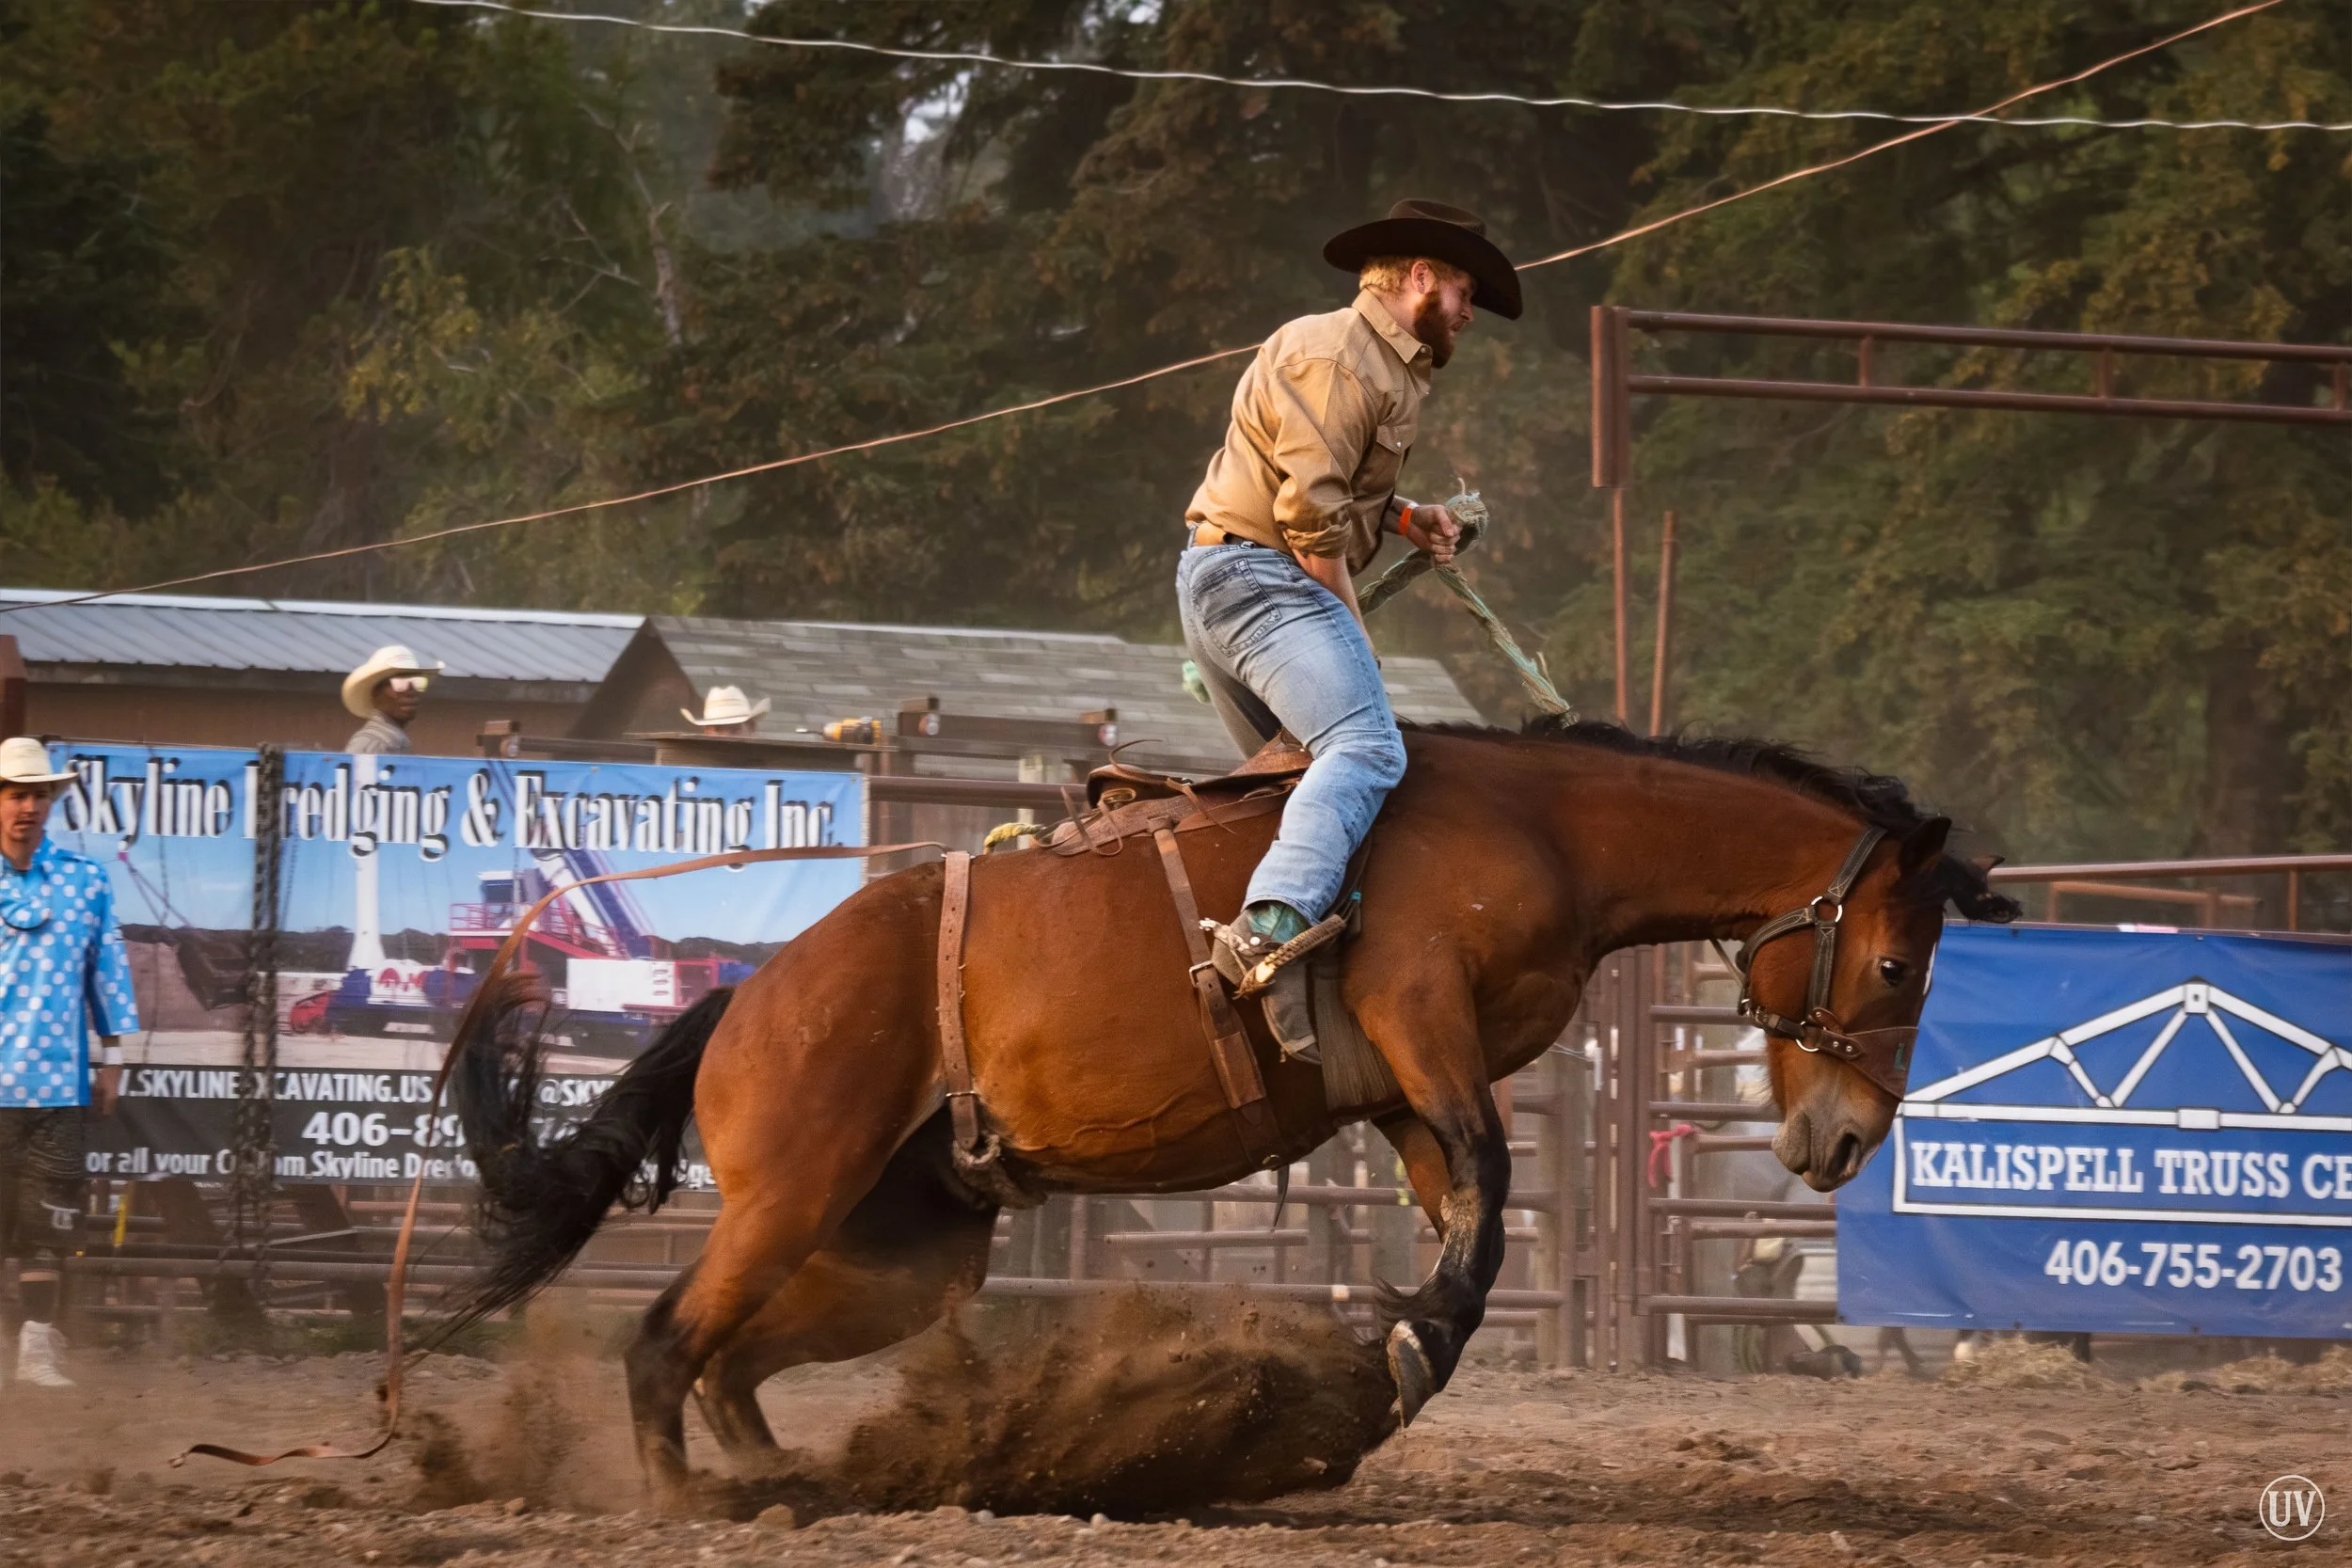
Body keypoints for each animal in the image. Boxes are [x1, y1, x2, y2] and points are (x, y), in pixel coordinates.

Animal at [439, 716, 2018, 1496]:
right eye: (1896, 959)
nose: (1845, 1137)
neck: (1543, 824)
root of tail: (753, 992)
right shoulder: (1424, 1020)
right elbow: (1495, 1188)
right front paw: (1389, 1356)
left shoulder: (1398, 1084)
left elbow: (1466, 1211)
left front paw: (1385, 1364)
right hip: (789, 1190)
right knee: (666, 1343)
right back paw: (688, 1502)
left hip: (900, 1247)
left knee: (738, 1361)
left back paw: (807, 1476)